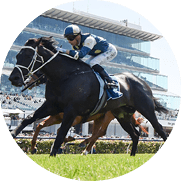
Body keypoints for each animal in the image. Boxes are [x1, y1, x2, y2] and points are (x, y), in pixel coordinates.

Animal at [8, 36, 168, 157]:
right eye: (17, 55)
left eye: (28, 56)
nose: (13, 78)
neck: (65, 76)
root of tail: (141, 81)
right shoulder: (52, 106)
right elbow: (30, 119)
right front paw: (16, 135)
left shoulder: (71, 111)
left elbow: (61, 133)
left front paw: (53, 154)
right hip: (122, 115)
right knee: (134, 134)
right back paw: (132, 156)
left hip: (145, 109)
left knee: (159, 128)